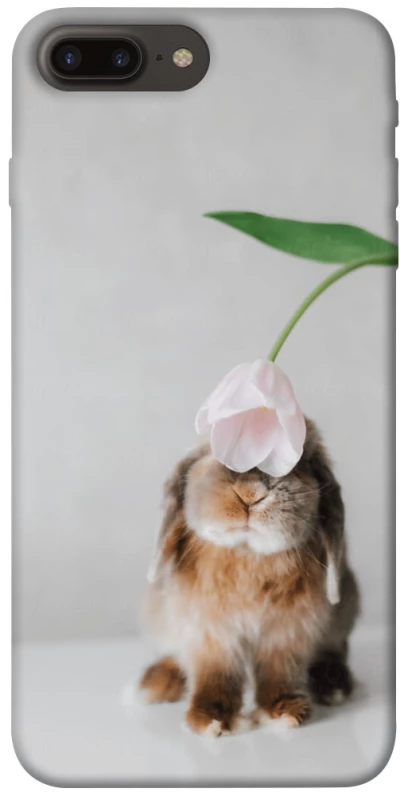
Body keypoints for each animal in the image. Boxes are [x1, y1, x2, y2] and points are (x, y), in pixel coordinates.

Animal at [139, 418, 360, 736]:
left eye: (298, 463)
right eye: (215, 454)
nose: (250, 493)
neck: (247, 551)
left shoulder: (288, 631)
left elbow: (279, 670)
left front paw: (284, 711)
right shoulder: (208, 631)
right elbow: (215, 672)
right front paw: (210, 719)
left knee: (335, 648)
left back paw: (334, 684)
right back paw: (154, 682)